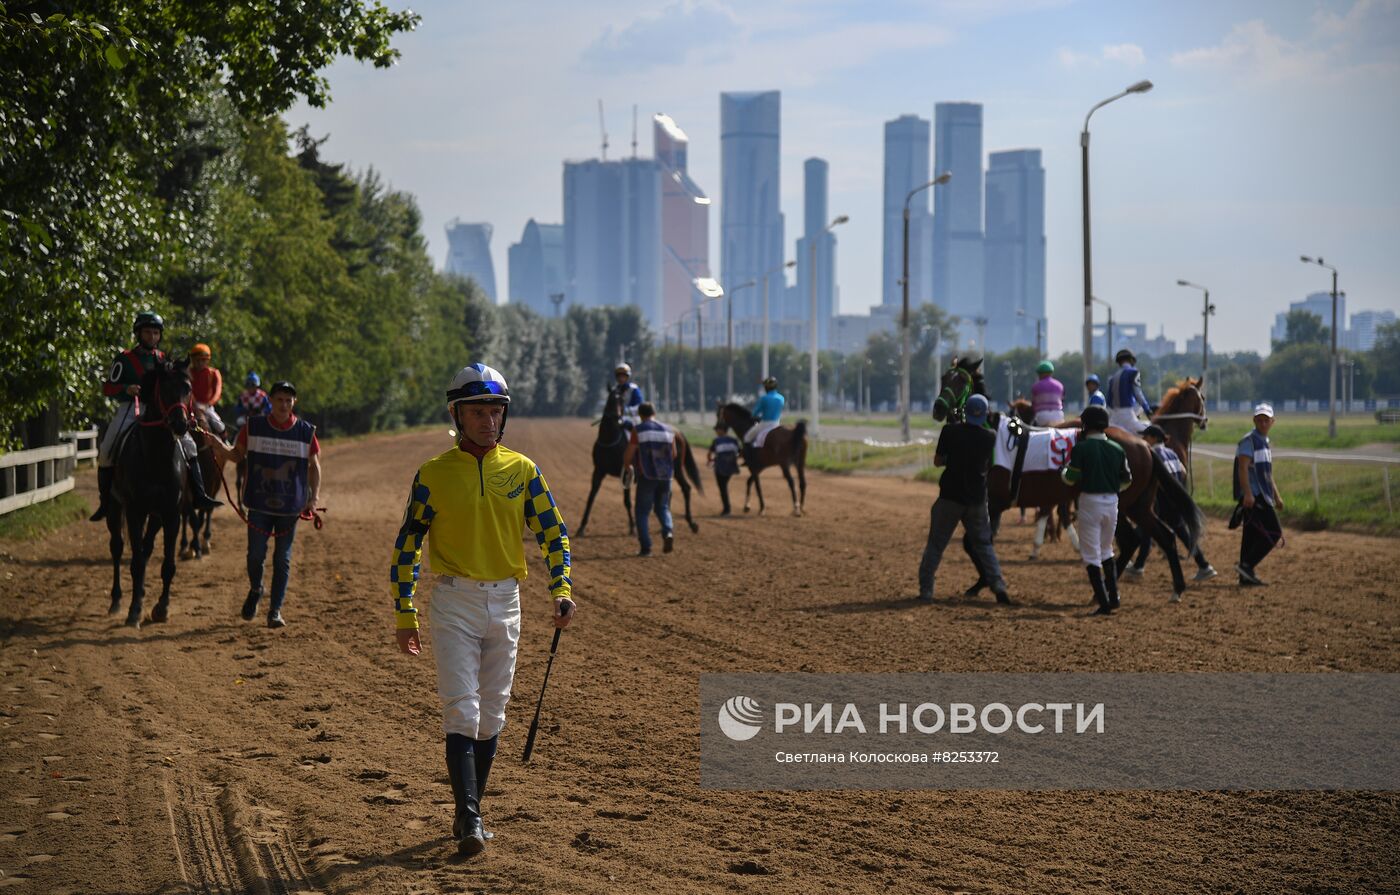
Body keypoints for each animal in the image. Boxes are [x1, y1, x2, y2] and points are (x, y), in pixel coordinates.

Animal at [107, 358, 196, 630]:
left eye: (188, 388)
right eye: (164, 388)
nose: (180, 424)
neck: (156, 456)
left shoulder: (170, 515)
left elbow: (168, 565)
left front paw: (161, 607)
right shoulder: (135, 512)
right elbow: (135, 563)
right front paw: (134, 611)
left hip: (155, 517)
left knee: (145, 550)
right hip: (114, 509)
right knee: (117, 548)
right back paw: (116, 601)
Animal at [574, 394, 700, 535]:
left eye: (622, 400)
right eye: (610, 399)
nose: (616, 417)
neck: (610, 441)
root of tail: (677, 432)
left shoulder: (626, 473)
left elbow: (627, 501)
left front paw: (632, 527)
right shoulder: (598, 470)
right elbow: (591, 497)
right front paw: (581, 527)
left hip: (676, 468)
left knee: (685, 488)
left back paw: (691, 523)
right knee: (670, 493)